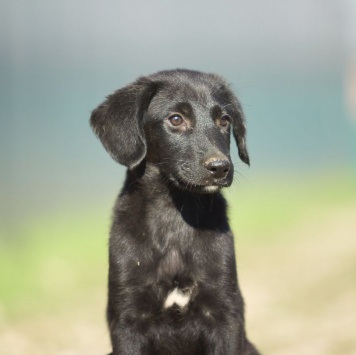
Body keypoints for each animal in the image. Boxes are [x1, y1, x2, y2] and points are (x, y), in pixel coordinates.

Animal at [90, 68, 260, 354]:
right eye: (176, 119)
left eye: (224, 120)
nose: (220, 167)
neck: (174, 217)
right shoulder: (127, 320)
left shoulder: (225, 314)